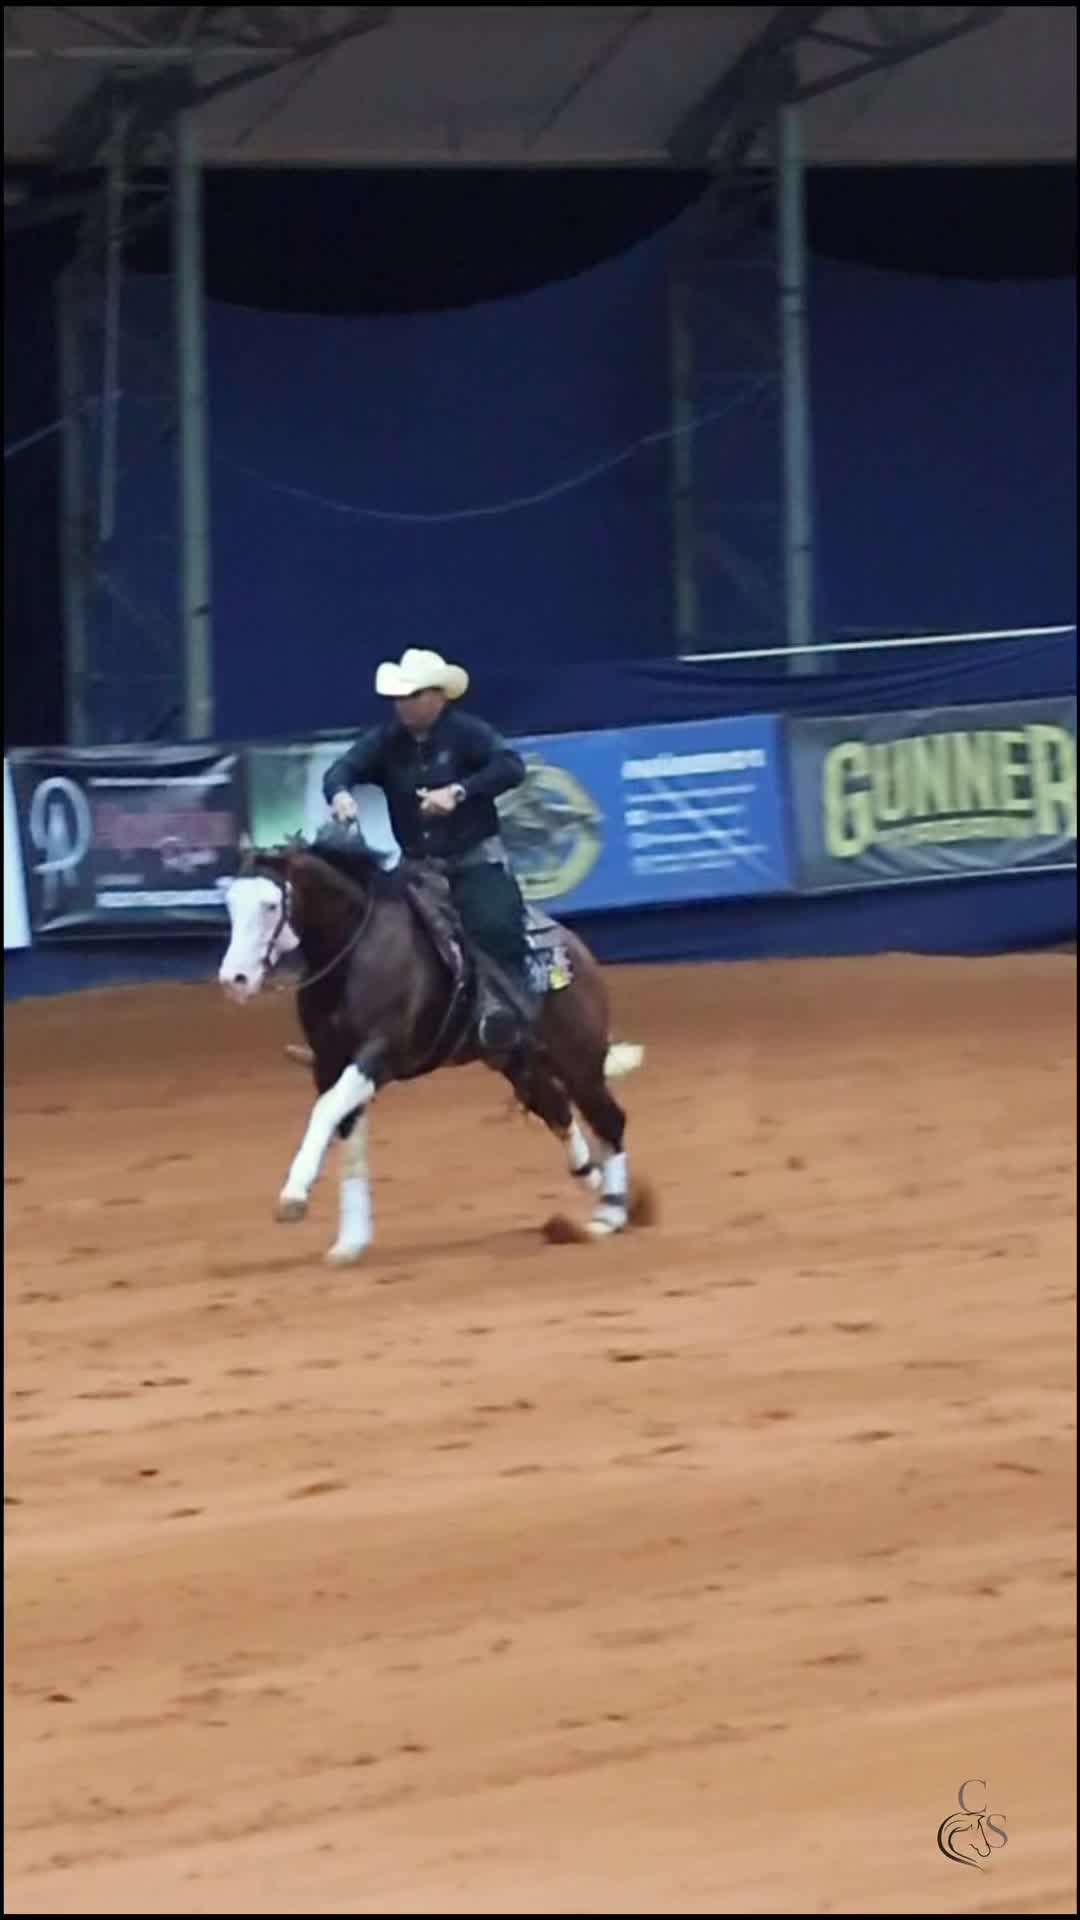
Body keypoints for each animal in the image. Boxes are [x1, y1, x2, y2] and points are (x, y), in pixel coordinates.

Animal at [218, 839, 652, 1264]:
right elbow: (347, 1131)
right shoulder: (329, 1062)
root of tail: (575, 949)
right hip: (519, 1061)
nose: (233, 979)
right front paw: (350, 1241)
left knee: (609, 1119)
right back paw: (592, 1178)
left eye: (270, 905)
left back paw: (609, 1214)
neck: (354, 952)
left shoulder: (380, 1053)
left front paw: (293, 1196)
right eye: (231, 904)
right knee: (556, 1108)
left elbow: (326, 1110)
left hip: (579, 1059)